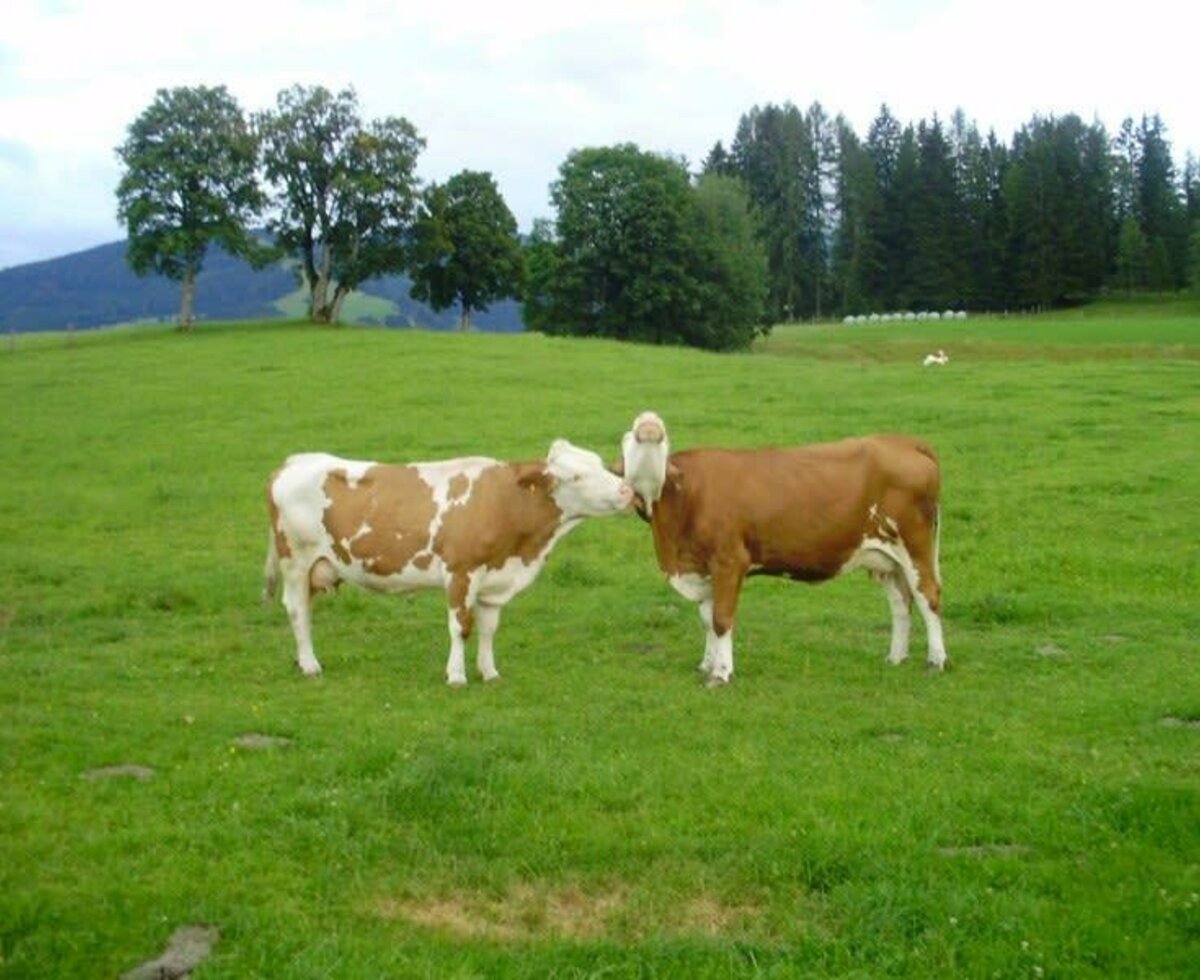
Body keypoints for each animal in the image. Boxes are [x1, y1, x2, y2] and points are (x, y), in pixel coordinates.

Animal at [266, 439, 633, 686]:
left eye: (600, 463)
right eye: (577, 477)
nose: (628, 490)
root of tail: (294, 462)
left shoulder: (493, 579)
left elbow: (488, 628)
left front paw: (489, 672)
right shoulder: (461, 571)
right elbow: (461, 627)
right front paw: (456, 675)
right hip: (296, 560)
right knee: (297, 610)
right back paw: (310, 665)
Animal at [619, 410, 945, 681]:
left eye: (664, 437)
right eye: (627, 436)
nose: (649, 424)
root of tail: (903, 442)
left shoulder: (729, 561)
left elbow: (721, 619)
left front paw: (721, 674)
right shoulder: (703, 569)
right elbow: (707, 619)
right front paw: (707, 665)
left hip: (915, 547)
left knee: (928, 596)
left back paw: (936, 661)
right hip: (886, 559)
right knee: (901, 603)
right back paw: (896, 657)